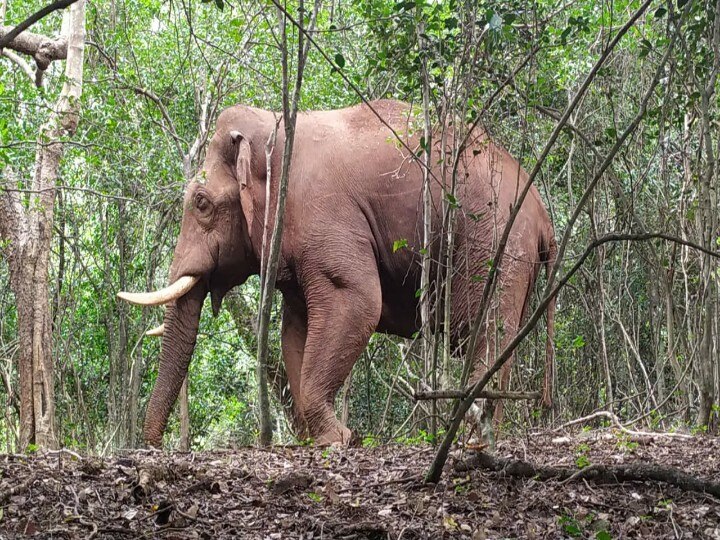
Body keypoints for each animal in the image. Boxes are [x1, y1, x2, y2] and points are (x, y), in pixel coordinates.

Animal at [118, 99, 556, 446]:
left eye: (202, 203)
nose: (154, 446)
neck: (272, 126)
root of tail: (544, 216)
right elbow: (295, 331)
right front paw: (325, 438)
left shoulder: (324, 213)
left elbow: (358, 301)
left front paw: (341, 439)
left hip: (496, 239)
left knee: (486, 331)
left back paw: (470, 436)